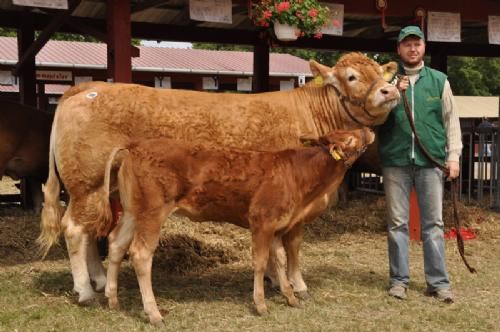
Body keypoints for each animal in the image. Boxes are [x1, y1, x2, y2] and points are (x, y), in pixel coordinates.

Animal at [38, 52, 398, 306]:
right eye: (352, 76)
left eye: (381, 72)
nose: (390, 90)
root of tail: (89, 87)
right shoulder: (293, 205)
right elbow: (292, 247)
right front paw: (297, 285)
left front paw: (275, 280)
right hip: (86, 184)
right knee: (74, 230)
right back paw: (84, 290)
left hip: (100, 190)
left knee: (89, 232)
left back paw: (99, 281)